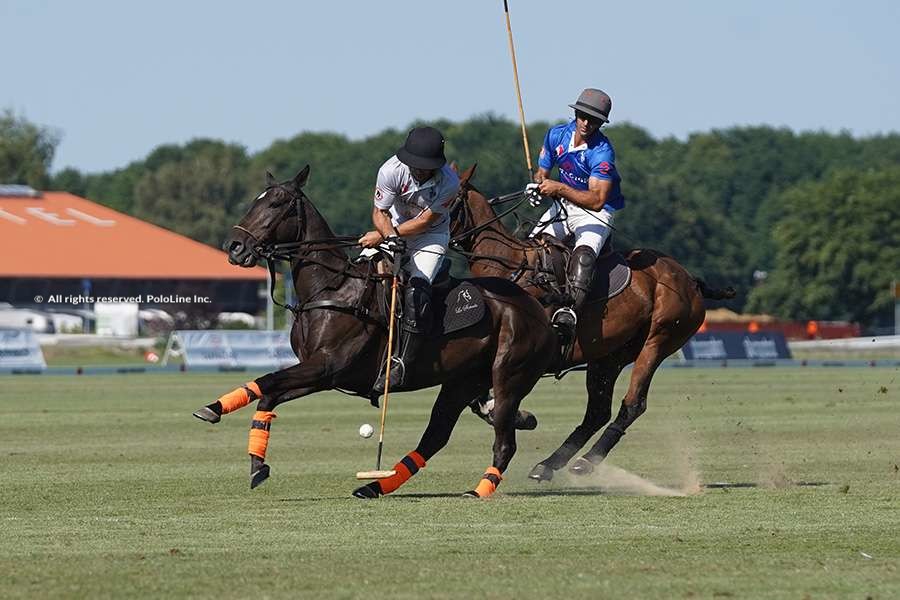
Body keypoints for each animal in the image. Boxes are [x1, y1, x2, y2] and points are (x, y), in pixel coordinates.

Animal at [192, 166, 556, 500]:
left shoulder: (327, 364)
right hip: (461, 381)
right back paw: (374, 485)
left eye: (277, 203)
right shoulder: (324, 374)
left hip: (508, 376)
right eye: (257, 201)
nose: (235, 246)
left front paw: (212, 409)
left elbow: (266, 379)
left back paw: (479, 489)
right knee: (436, 436)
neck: (332, 288)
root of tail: (536, 306)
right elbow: (268, 393)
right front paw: (257, 464)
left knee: (504, 442)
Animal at [446, 165, 736, 482]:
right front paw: (517, 416)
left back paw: (585, 461)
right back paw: (549, 464)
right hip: (609, 355)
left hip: (658, 341)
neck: (509, 268)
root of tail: (690, 280)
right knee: (597, 411)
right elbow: (477, 399)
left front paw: (518, 417)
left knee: (633, 404)